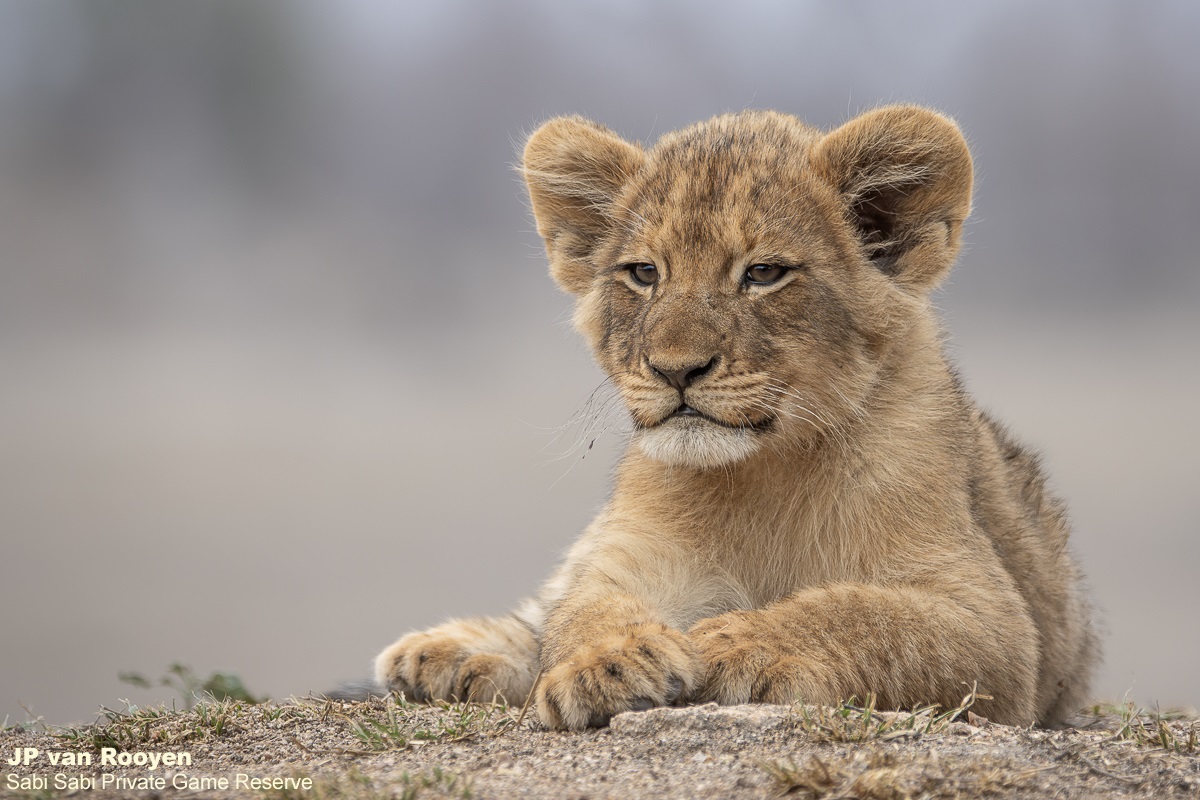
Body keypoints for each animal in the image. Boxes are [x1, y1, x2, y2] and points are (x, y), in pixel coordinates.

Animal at [373, 105, 1100, 731]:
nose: (676, 369)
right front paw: (604, 664)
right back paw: (442, 654)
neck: (762, 475)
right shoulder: (633, 554)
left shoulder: (994, 624)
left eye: (764, 272)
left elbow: (865, 614)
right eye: (643, 273)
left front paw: (735, 644)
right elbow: (585, 607)